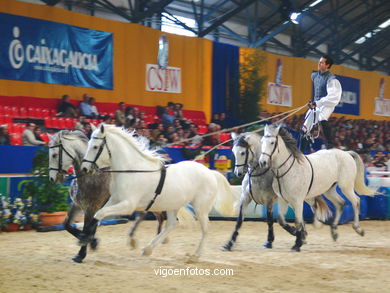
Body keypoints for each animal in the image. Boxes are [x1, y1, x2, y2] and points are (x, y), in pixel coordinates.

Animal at [77, 123, 233, 260]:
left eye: (95, 146)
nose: (84, 169)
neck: (131, 170)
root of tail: (210, 172)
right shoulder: (115, 200)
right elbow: (98, 214)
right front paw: (82, 247)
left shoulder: (128, 205)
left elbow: (99, 214)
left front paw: (84, 240)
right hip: (173, 205)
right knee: (171, 224)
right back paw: (148, 249)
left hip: (200, 208)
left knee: (205, 228)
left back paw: (195, 255)